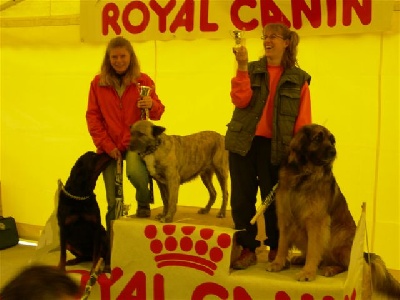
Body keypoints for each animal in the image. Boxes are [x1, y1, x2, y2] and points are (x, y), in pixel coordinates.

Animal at [266, 123, 400, 298]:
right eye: (317, 138)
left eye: (332, 141)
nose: (333, 152)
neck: (304, 175)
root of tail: (363, 254)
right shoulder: (285, 218)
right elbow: (282, 244)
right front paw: (278, 263)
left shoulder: (316, 222)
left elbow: (314, 249)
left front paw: (308, 272)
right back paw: (301, 259)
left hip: (337, 238)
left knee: (346, 265)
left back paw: (329, 268)